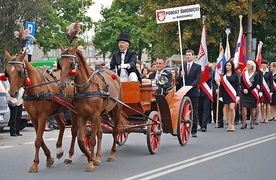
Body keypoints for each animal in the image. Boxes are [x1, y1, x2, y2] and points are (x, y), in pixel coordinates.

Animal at [58, 44, 128, 172]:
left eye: (72, 64)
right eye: (60, 63)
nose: (61, 85)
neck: (87, 88)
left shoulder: (94, 114)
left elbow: (92, 140)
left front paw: (90, 162)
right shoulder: (82, 115)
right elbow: (81, 139)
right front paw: (91, 158)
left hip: (116, 110)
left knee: (115, 131)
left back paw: (111, 154)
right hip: (100, 115)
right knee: (99, 133)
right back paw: (98, 156)